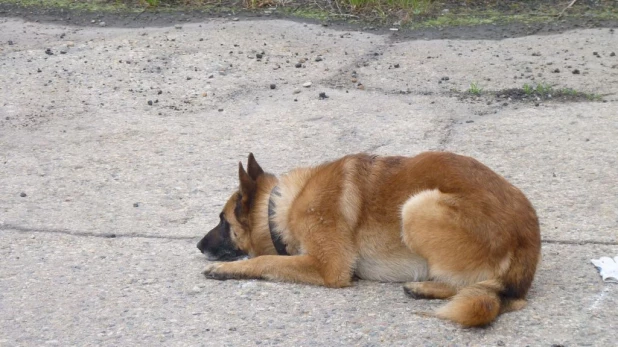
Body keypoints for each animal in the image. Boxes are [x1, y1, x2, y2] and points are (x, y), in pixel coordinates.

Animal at [197, 152, 540, 326]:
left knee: (480, 287)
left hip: (416, 206)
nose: (199, 246)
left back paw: (424, 287)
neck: (282, 204)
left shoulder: (329, 267)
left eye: (223, 220)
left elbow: (266, 259)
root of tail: (528, 241)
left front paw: (226, 270)